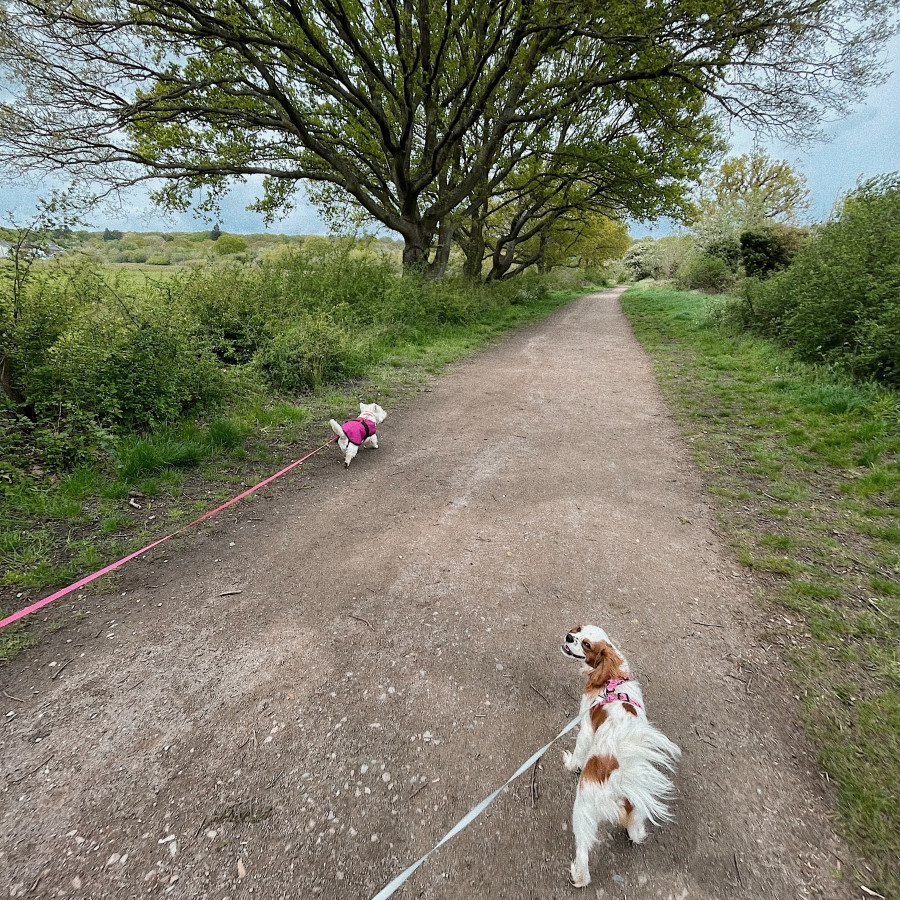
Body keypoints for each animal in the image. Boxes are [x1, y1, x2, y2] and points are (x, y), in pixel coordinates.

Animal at [560, 624, 680, 884]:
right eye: (578, 629)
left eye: (586, 644)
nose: (569, 636)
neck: (612, 679)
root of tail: (619, 781)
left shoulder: (586, 728)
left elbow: (578, 753)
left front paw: (570, 764)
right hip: (637, 806)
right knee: (635, 830)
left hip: (582, 809)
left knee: (583, 855)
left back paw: (578, 875)